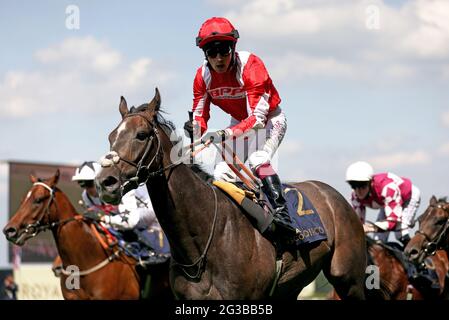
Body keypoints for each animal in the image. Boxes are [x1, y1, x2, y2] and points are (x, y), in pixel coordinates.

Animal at [94, 88, 368, 300]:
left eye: (141, 135)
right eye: (111, 136)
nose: (105, 182)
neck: (201, 239)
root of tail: (334, 195)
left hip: (349, 279)